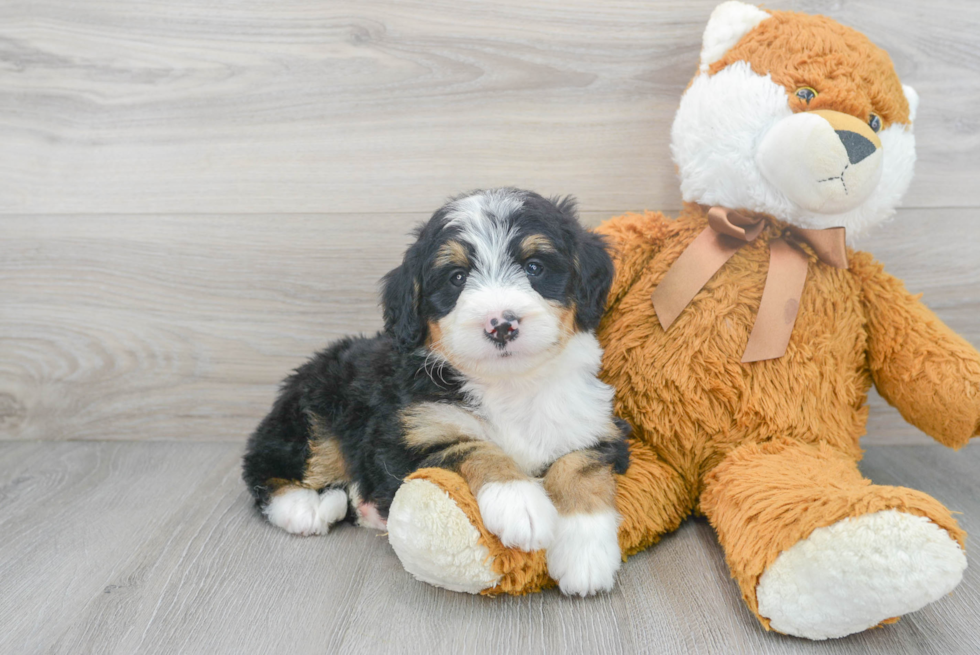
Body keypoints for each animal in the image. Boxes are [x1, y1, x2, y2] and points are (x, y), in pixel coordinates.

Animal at [241, 187, 632, 596]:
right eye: (457, 277)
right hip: (316, 410)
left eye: (534, 268)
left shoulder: (596, 424)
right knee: (268, 465)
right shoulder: (410, 437)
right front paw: (517, 500)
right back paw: (307, 507)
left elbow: (580, 468)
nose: (501, 325)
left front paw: (585, 554)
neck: (509, 383)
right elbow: (472, 446)